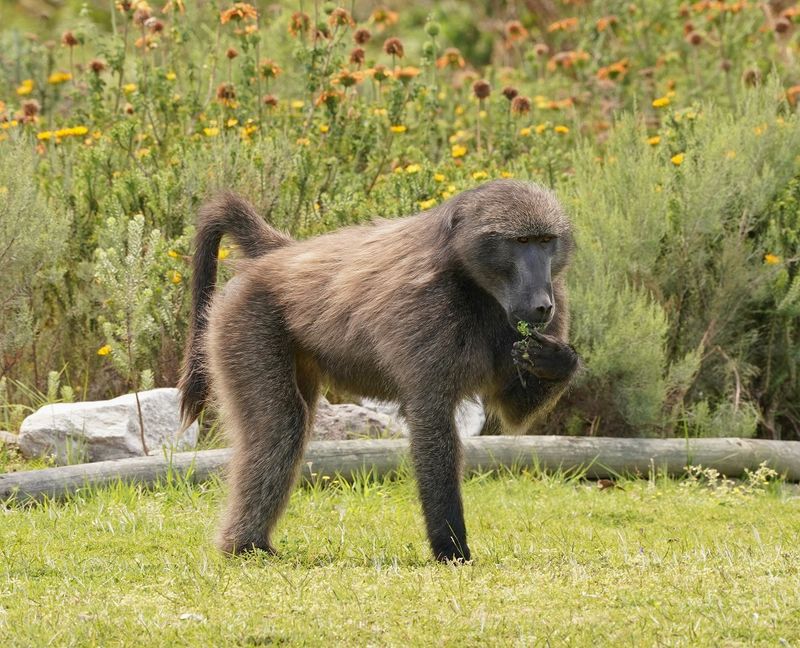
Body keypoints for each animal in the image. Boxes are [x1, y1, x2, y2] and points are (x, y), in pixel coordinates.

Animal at [179, 179, 580, 563]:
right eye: (521, 241)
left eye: (546, 241)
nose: (541, 306)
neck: (472, 278)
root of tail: (281, 254)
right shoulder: (425, 307)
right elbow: (431, 419)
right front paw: (451, 550)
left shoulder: (556, 298)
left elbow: (514, 410)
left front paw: (558, 360)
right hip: (246, 319)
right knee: (280, 424)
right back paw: (244, 546)